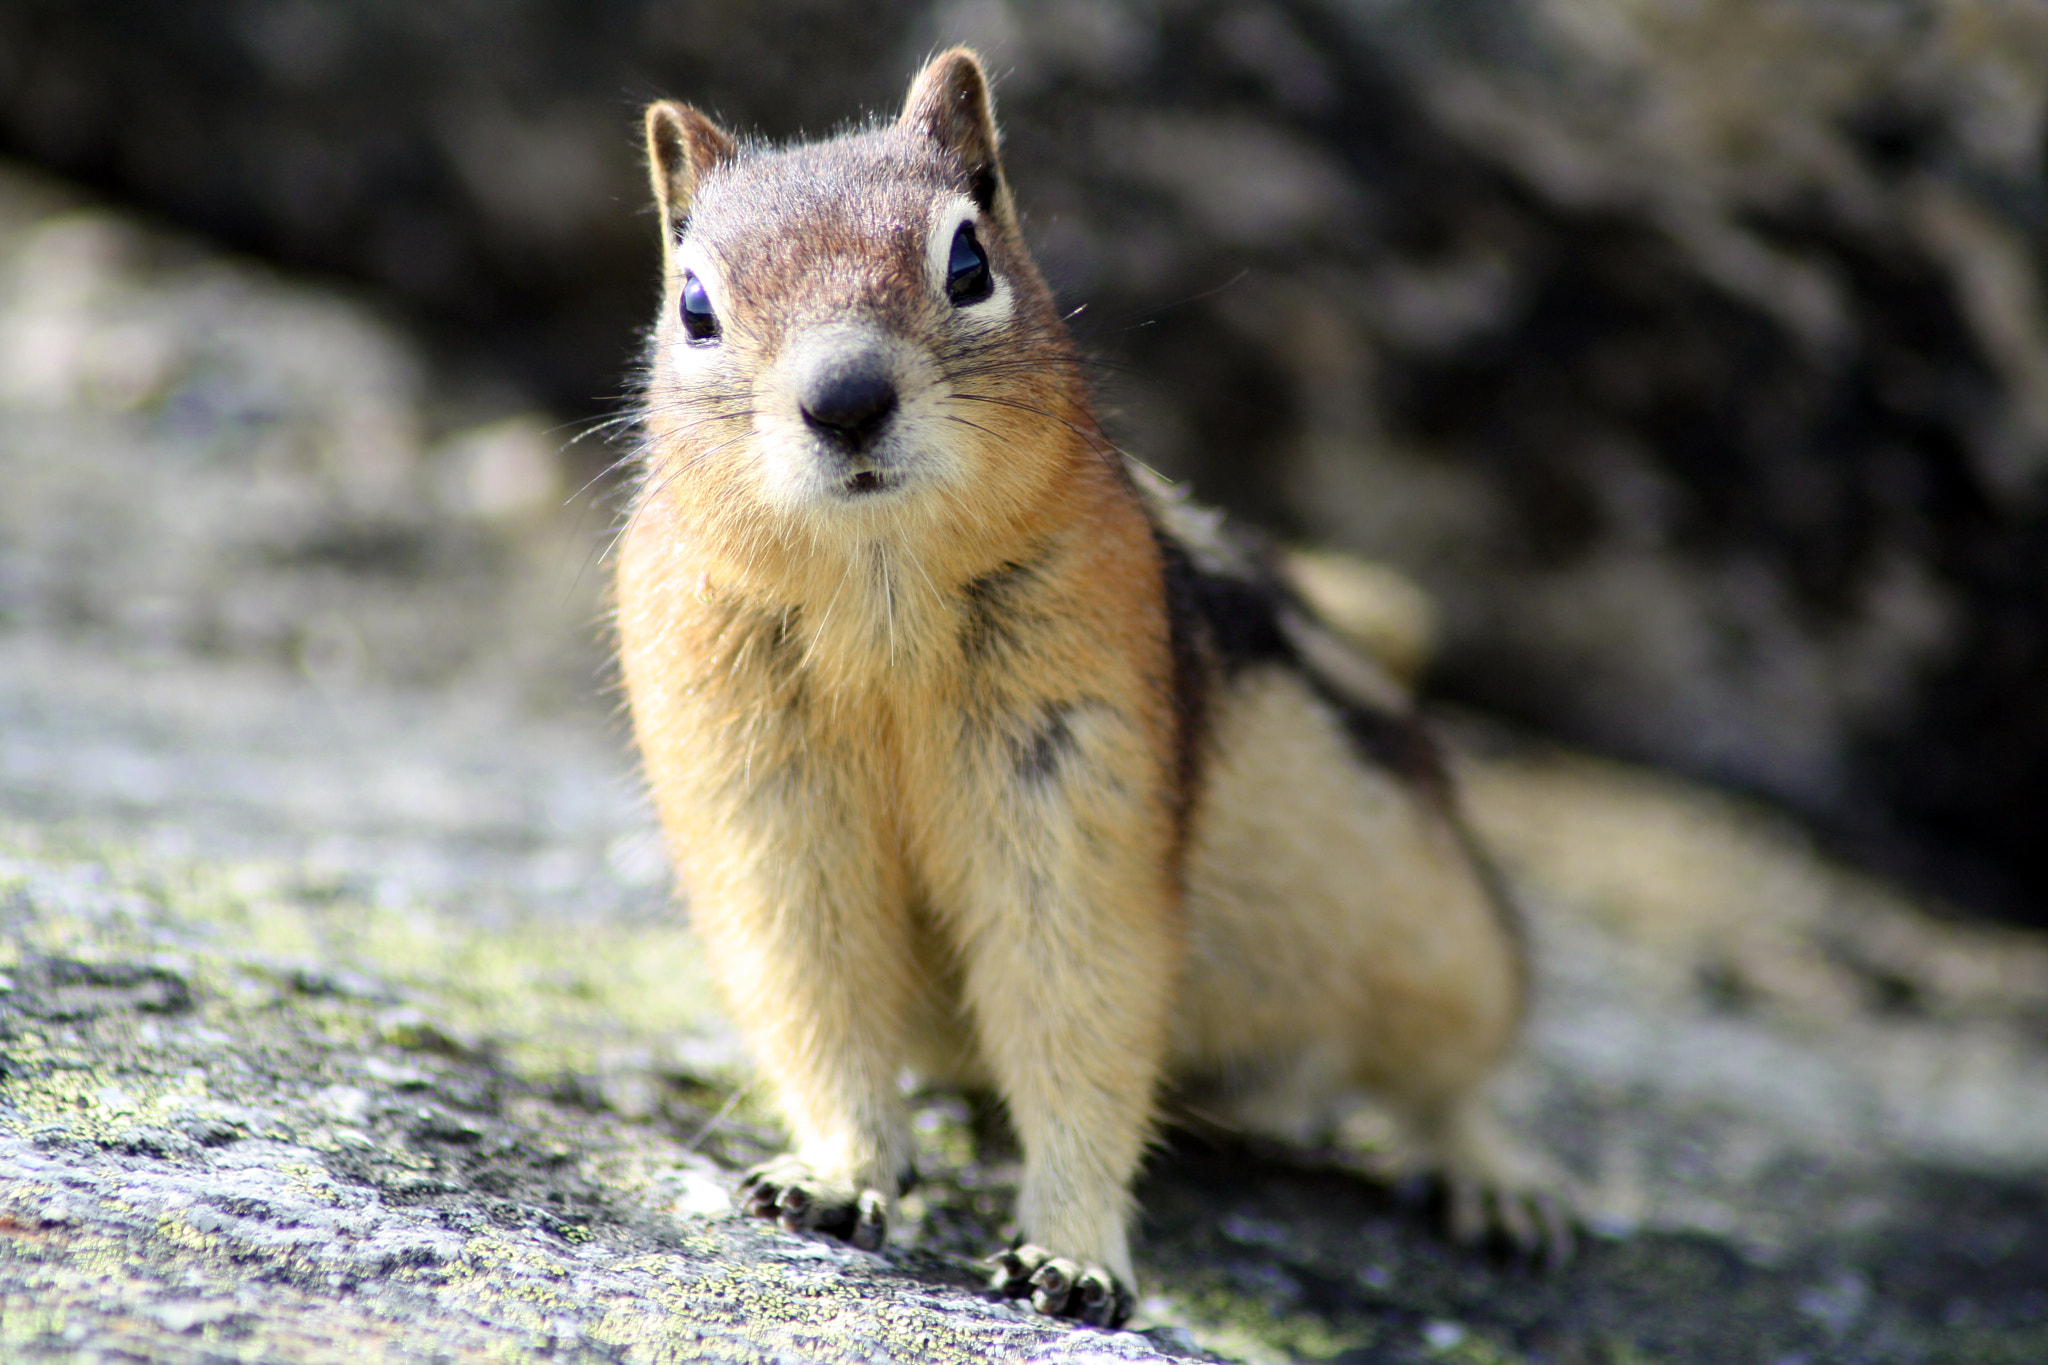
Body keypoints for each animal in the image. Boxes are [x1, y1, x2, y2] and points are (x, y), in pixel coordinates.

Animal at [614, 50, 1556, 1326]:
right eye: (695, 307)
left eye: (966, 262)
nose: (845, 397)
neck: (880, 605)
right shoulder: (760, 791)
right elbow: (811, 985)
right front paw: (834, 1175)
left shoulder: (1069, 766)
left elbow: (1074, 993)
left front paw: (1069, 1253)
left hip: (1442, 937)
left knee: (1447, 1075)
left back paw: (1492, 1181)